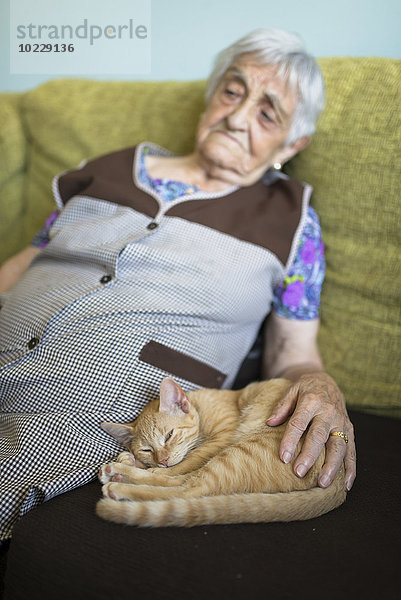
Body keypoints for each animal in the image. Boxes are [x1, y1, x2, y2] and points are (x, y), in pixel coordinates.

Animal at [96, 380, 344, 524]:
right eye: (147, 450)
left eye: (169, 435)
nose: (163, 460)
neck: (201, 408)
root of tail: (339, 481)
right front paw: (134, 459)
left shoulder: (222, 438)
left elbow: (187, 461)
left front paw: (154, 468)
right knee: (188, 484)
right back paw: (121, 472)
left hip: (239, 450)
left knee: (188, 488)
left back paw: (119, 483)